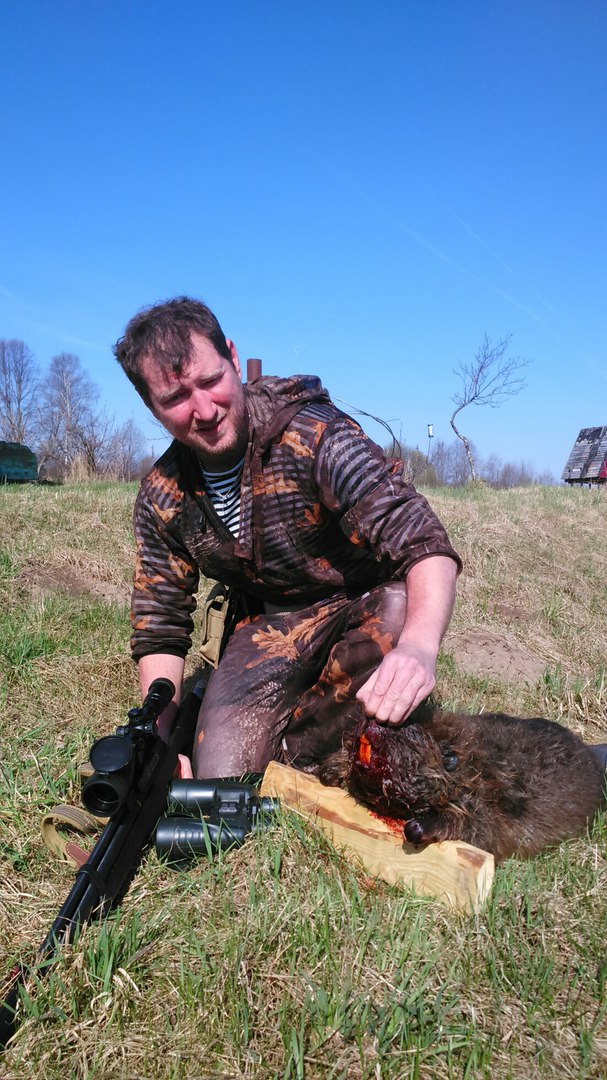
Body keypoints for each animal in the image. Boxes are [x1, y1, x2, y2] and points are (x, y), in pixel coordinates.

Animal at [316, 700, 606, 862]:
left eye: (407, 732)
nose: (374, 720)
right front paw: (331, 769)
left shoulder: (495, 806)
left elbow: (479, 829)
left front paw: (418, 827)